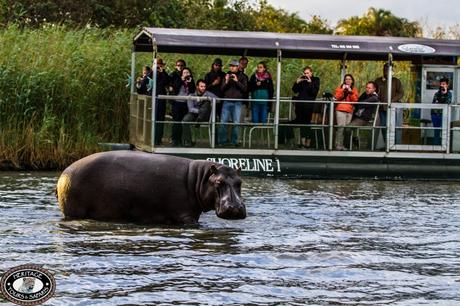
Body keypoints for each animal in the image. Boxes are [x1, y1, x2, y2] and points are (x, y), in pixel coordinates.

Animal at [55, 151, 246, 225]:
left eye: (240, 182)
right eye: (218, 182)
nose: (236, 208)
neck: (199, 179)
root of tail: (64, 173)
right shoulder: (186, 216)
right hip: (75, 211)